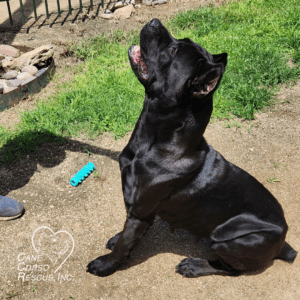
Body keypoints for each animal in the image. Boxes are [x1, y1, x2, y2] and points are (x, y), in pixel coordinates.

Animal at [87, 18, 298, 276]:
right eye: (180, 42)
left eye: (173, 51)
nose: (154, 21)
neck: (153, 142)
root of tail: (283, 243)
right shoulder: (134, 208)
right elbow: (124, 233)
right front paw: (116, 240)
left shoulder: (141, 214)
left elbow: (125, 245)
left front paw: (105, 265)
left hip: (230, 241)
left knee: (230, 269)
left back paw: (195, 266)